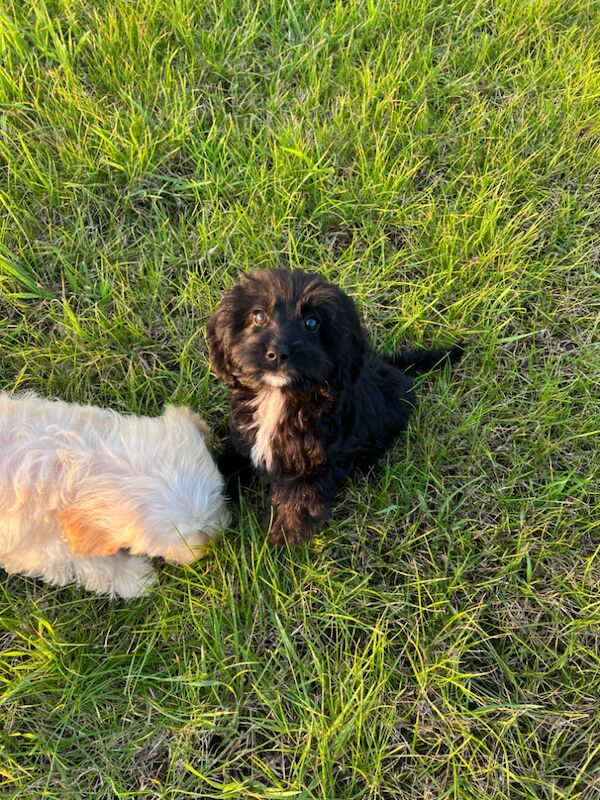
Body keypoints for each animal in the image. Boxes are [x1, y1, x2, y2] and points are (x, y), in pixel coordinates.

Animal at [206, 268, 460, 544]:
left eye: (312, 323)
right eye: (259, 316)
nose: (277, 353)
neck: (280, 395)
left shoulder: (319, 457)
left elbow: (301, 494)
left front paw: (283, 537)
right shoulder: (244, 436)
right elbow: (231, 462)